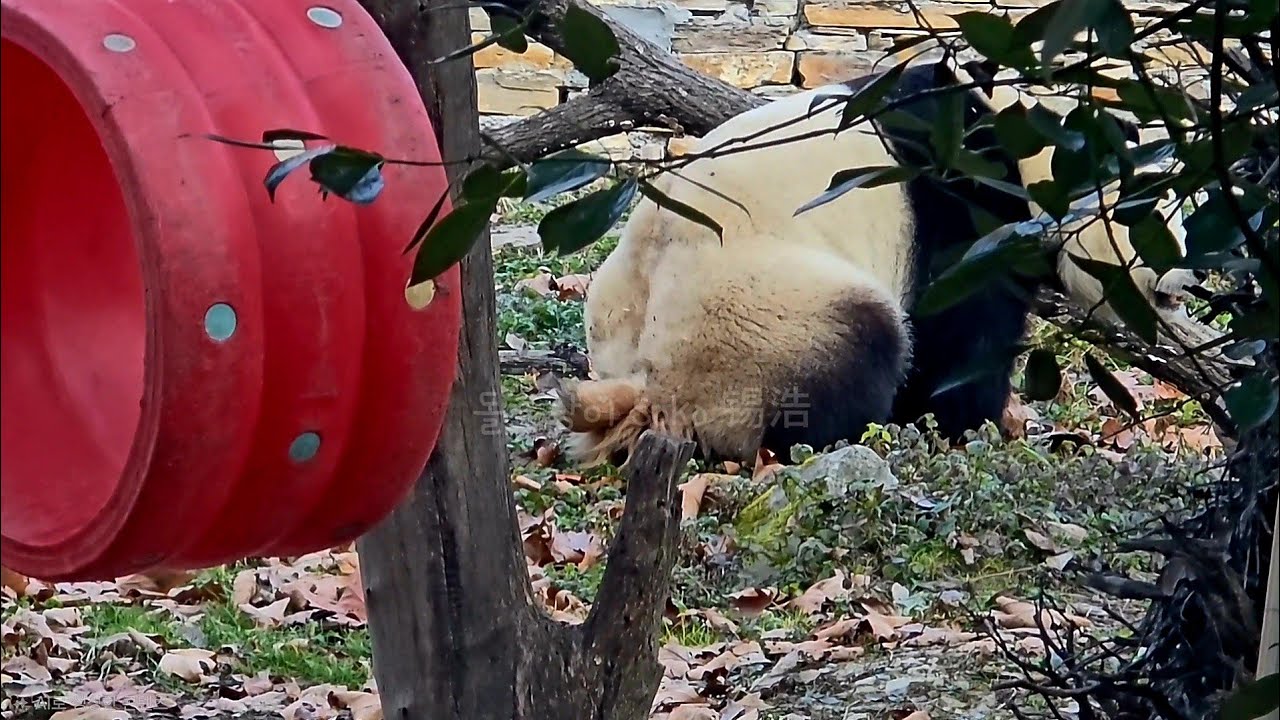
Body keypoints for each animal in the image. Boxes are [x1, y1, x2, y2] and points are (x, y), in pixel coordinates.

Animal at [557, 59, 1212, 468]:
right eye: (1163, 217)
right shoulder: (963, 194)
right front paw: (977, 429)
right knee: (858, 344)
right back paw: (867, 433)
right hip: (752, 312)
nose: (1196, 273)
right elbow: (959, 332)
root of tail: (648, 386)